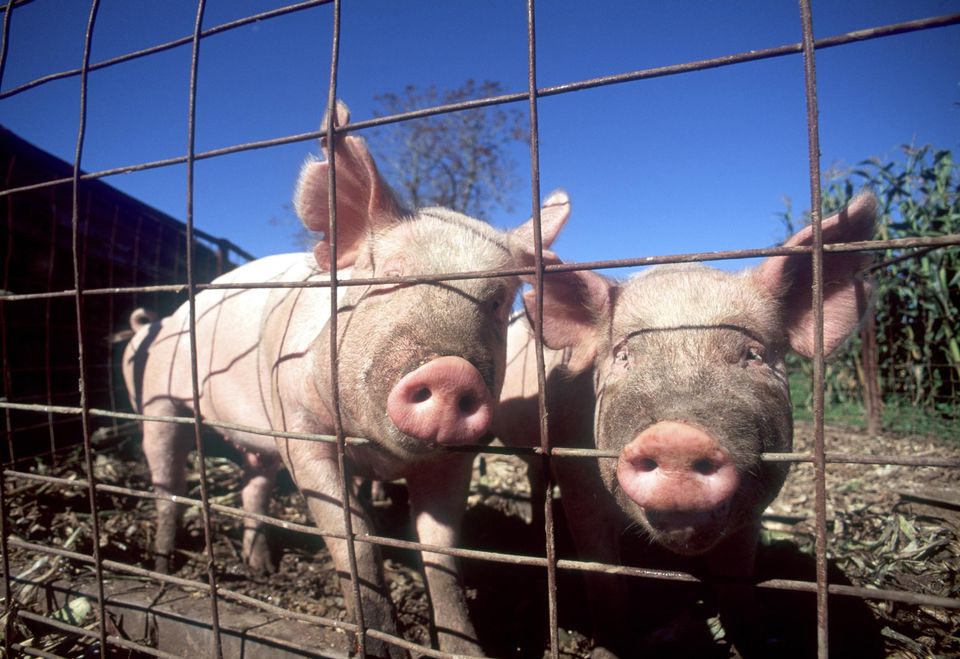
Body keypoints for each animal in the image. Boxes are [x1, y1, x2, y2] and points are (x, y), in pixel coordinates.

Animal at [120, 100, 568, 656]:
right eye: (390, 275)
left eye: (498, 301)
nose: (452, 372)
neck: (378, 450)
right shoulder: (301, 430)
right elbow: (353, 542)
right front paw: (382, 647)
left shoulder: (453, 460)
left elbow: (441, 556)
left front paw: (466, 650)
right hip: (155, 400)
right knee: (167, 483)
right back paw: (164, 563)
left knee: (253, 488)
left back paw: (260, 567)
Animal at [496, 193, 876, 656]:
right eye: (624, 356)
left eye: (753, 355)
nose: (677, 437)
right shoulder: (578, 483)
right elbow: (604, 578)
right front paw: (609, 647)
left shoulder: (751, 513)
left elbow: (736, 583)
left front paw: (754, 642)